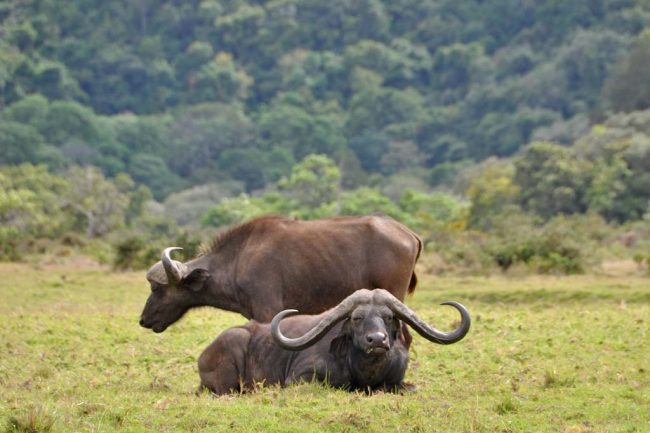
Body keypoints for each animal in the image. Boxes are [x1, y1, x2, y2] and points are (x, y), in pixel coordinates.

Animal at [195, 288, 468, 394]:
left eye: (389, 317)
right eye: (357, 317)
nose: (377, 340)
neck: (365, 372)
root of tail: (203, 357)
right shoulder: (299, 378)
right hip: (232, 348)